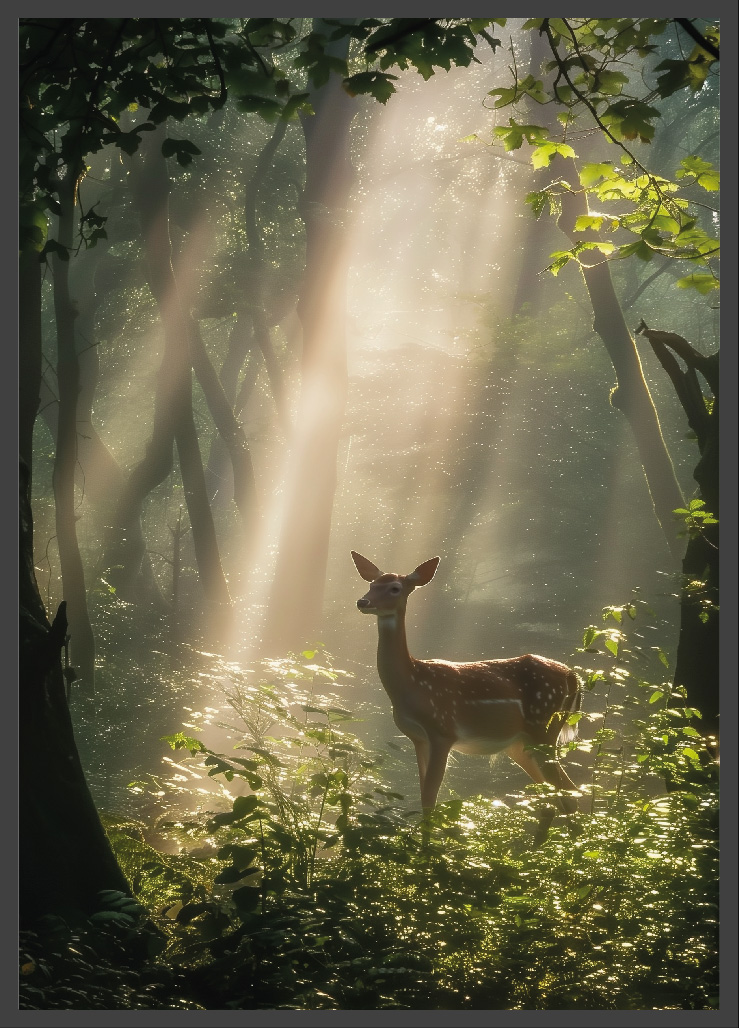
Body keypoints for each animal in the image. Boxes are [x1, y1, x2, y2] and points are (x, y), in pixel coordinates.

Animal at [353, 551, 583, 822]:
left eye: (395, 588)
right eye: (371, 584)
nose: (363, 602)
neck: (411, 685)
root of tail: (571, 676)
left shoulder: (442, 731)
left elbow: (430, 800)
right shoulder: (418, 738)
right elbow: (424, 797)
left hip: (544, 727)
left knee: (568, 795)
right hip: (520, 744)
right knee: (554, 799)